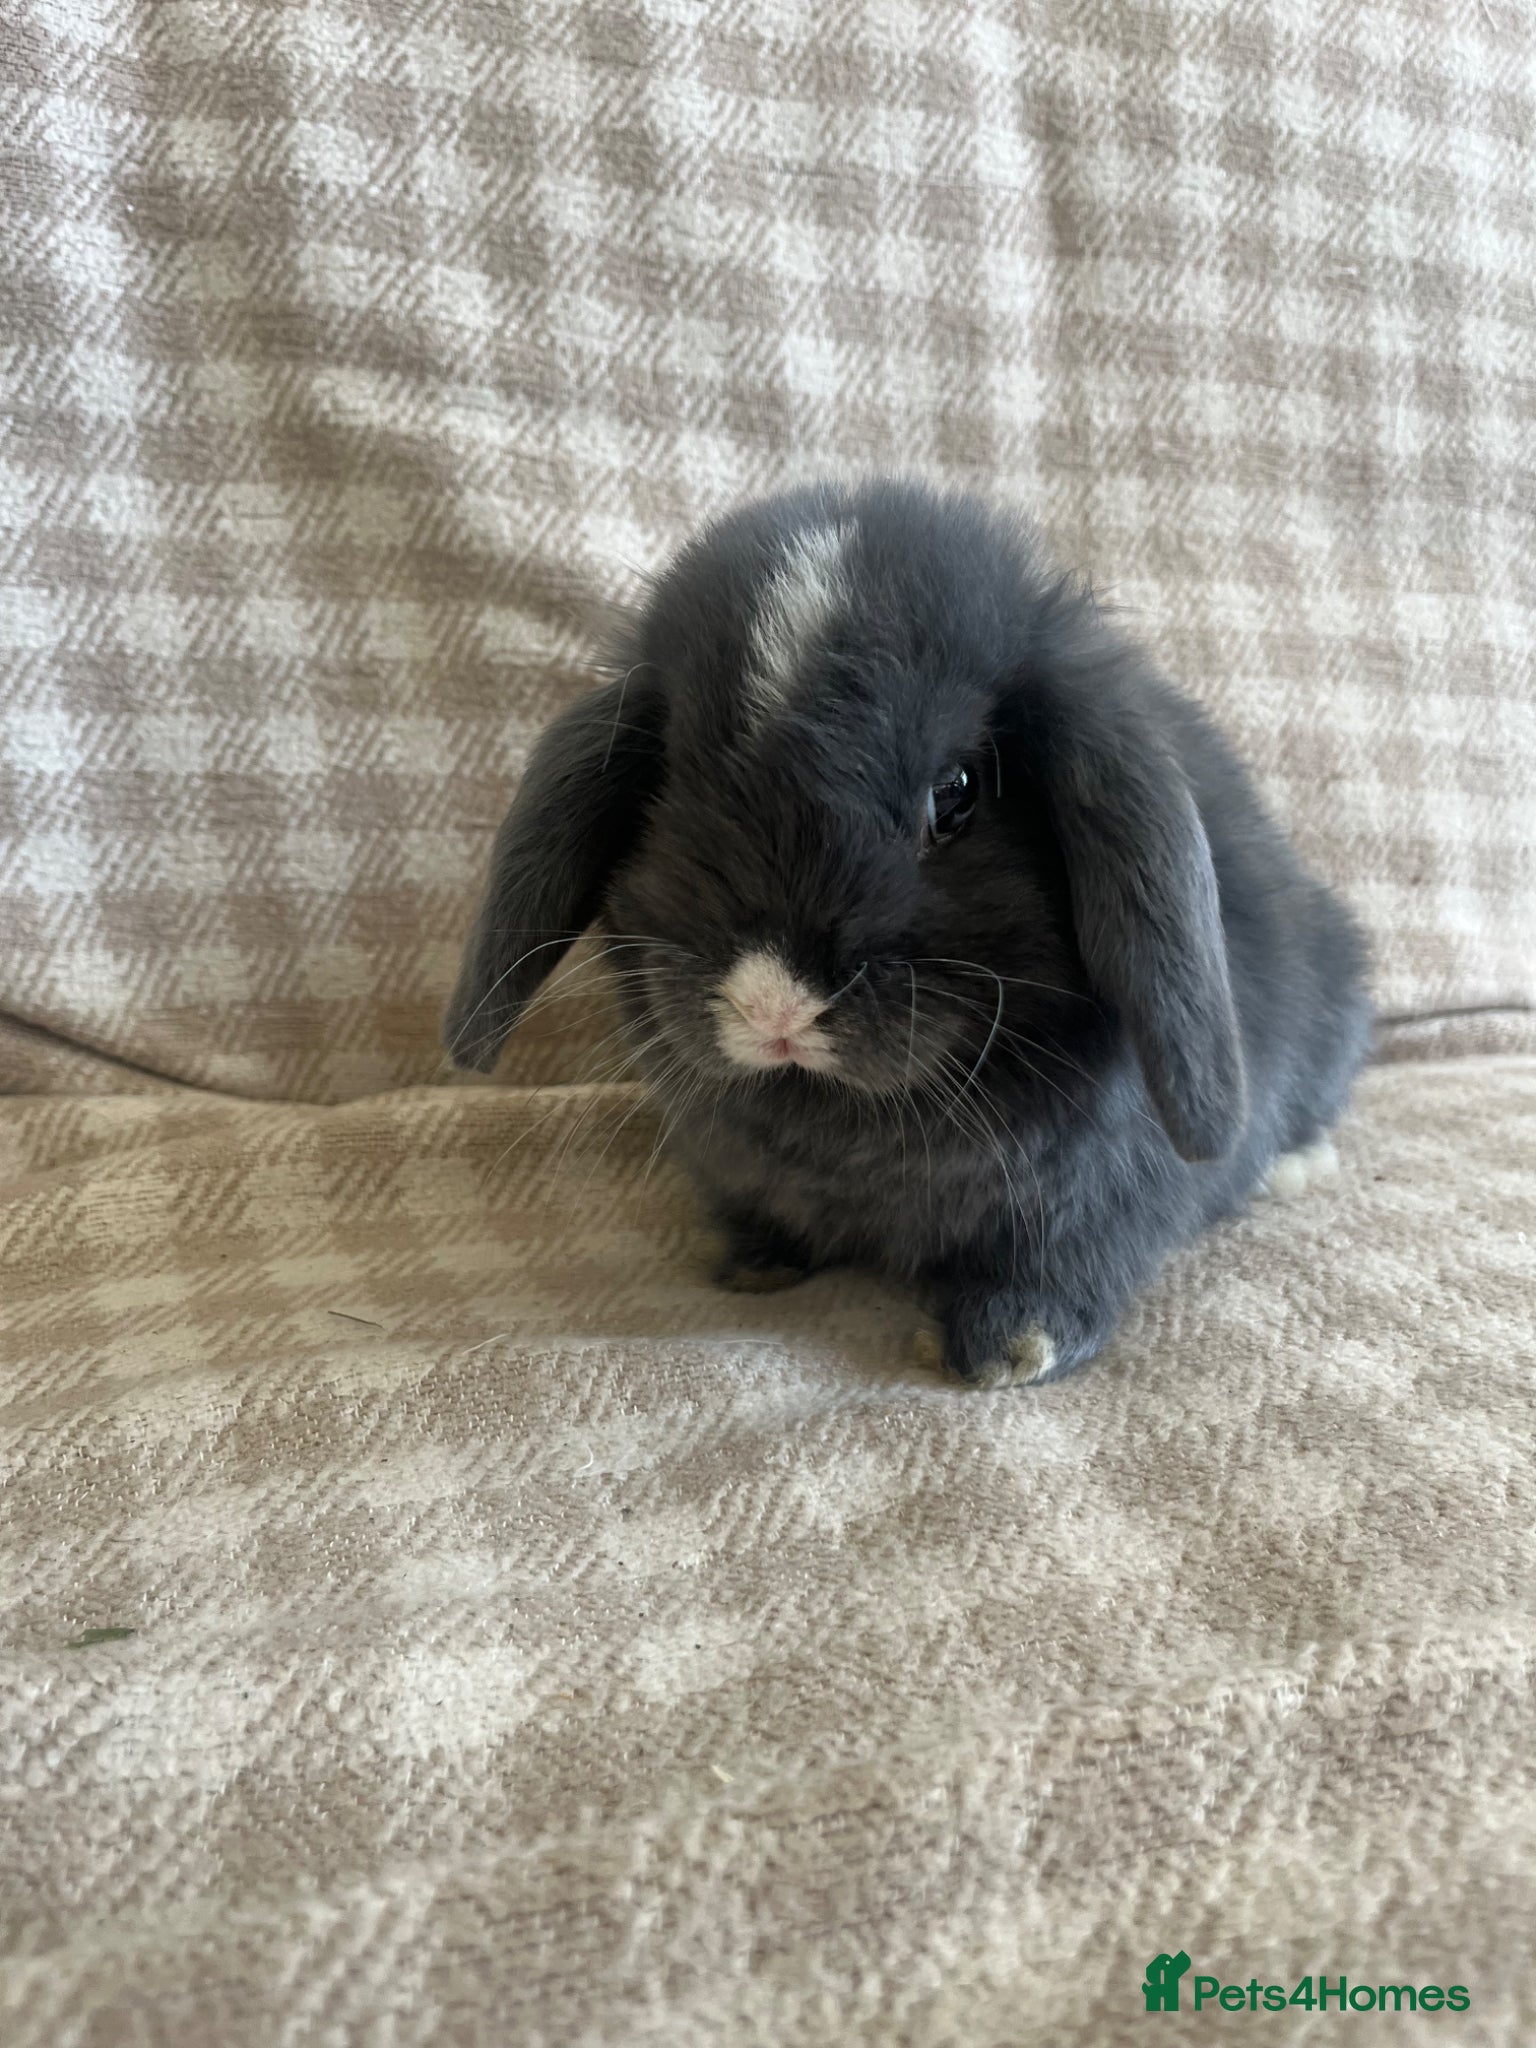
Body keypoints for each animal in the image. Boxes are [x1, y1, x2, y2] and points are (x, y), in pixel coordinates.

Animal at [445, 478, 1372, 1387]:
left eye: (956, 792)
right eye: (668, 781)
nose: (774, 1004)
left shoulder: (1104, 1192)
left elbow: (1068, 1258)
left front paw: (1009, 1346)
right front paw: (756, 1263)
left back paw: (1295, 1166)